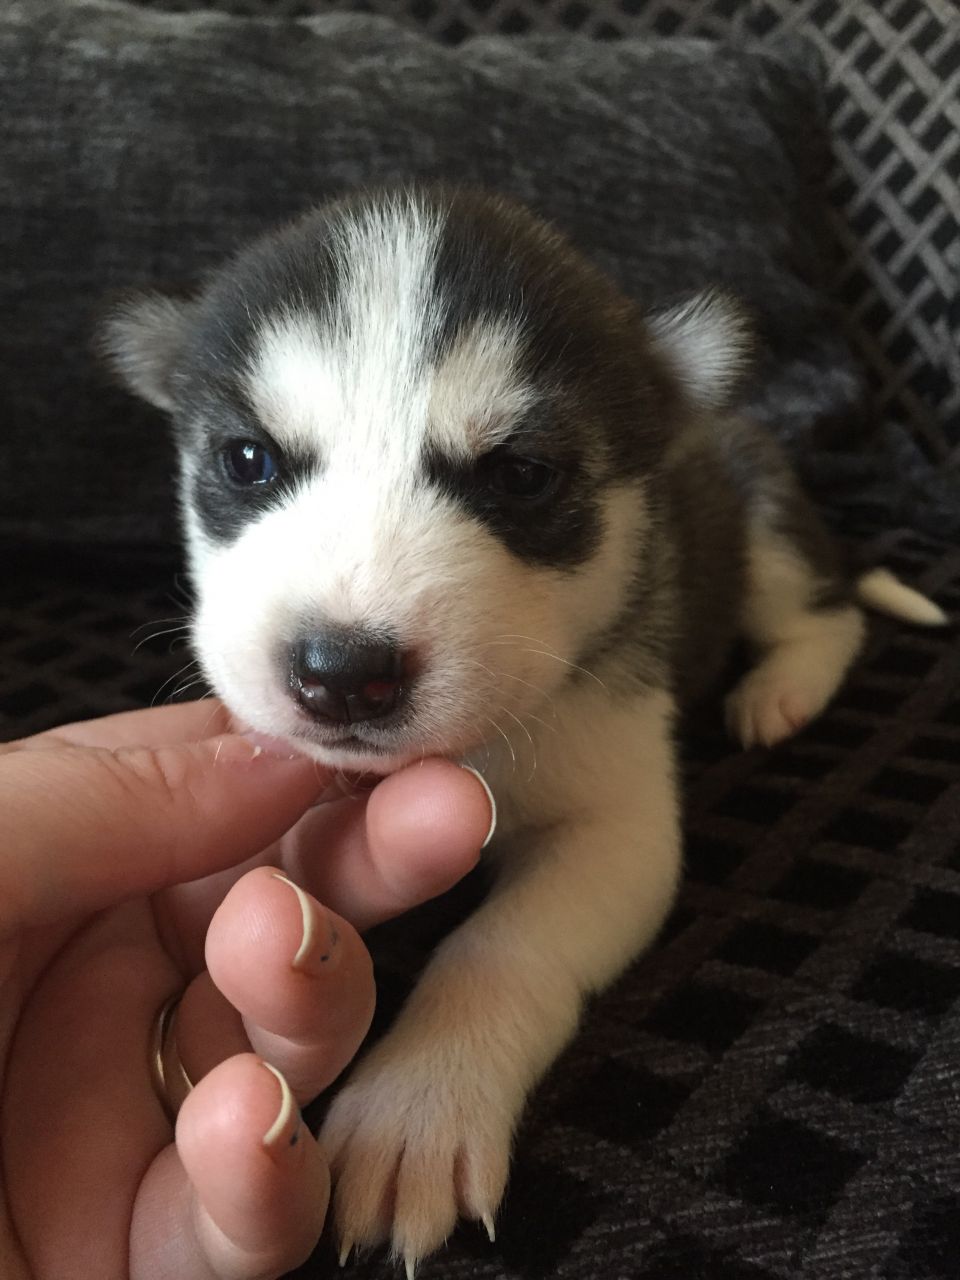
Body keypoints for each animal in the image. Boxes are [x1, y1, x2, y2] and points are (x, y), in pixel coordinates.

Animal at [99, 185, 947, 1274]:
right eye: (249, 461)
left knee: (825, 612)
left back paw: (780, 687)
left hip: (763, 528)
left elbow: (498, 945)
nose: (341, 673)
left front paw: (420, 1099)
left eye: (522, 475)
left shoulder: (615, 822)